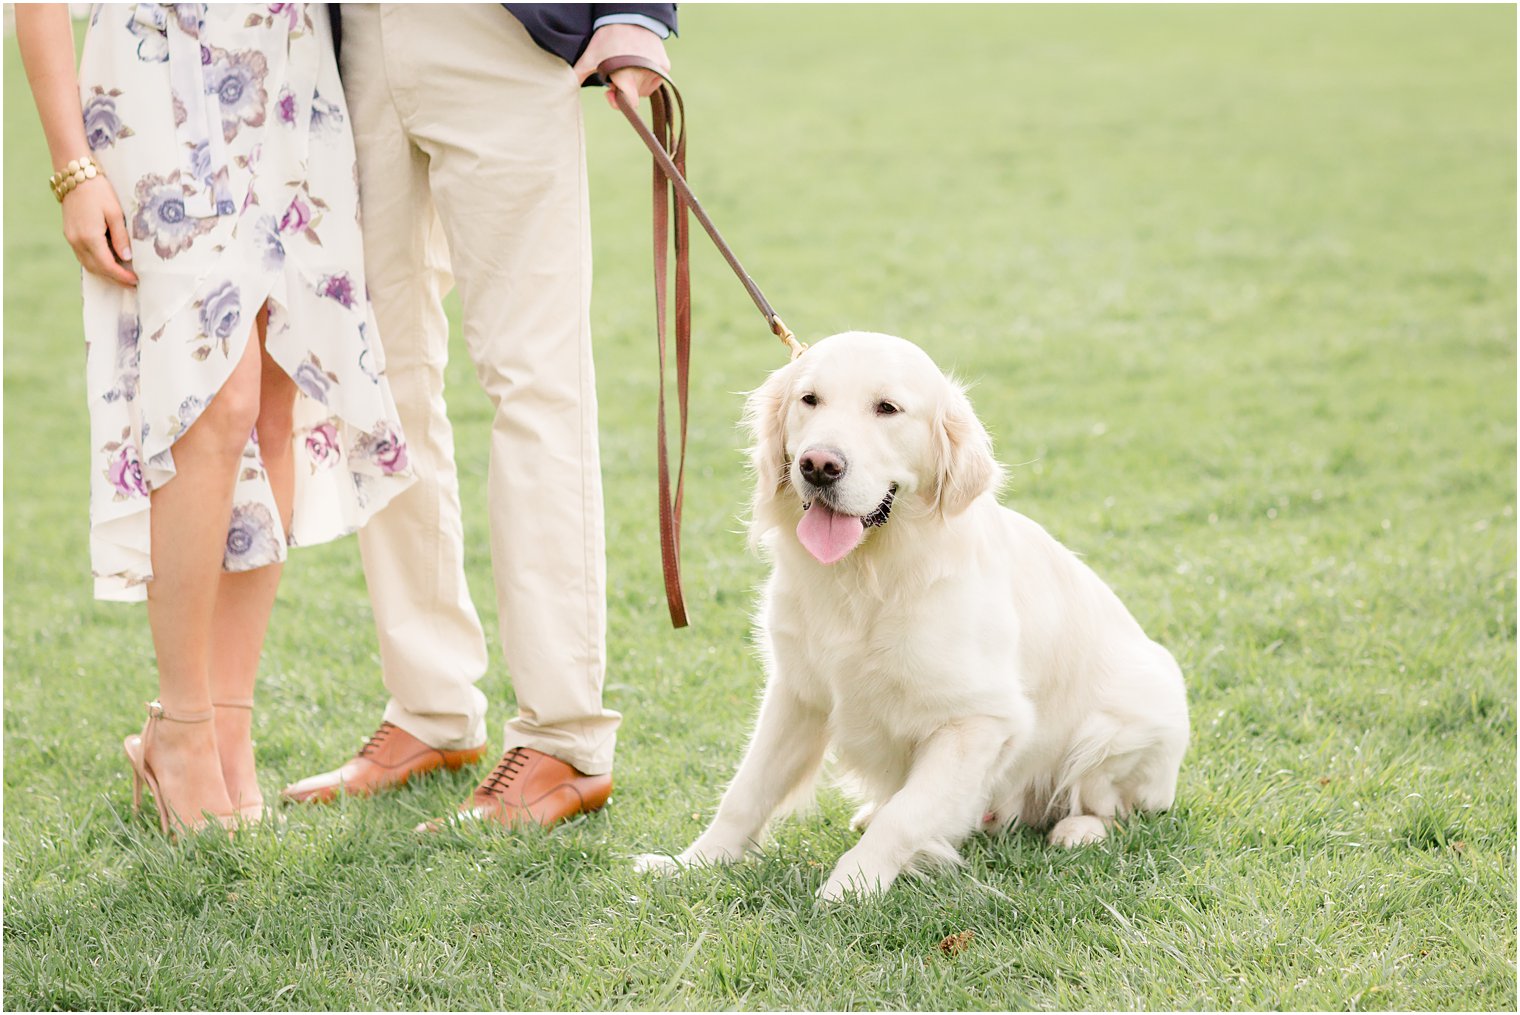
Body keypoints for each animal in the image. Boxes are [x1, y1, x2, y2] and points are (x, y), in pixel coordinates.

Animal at [635, 329, 1191, 899]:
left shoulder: (980, 721)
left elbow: (904, 816)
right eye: (809, 400)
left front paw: (851, 887)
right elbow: (746, 790)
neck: (865, 575)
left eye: (888, 408)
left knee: (1111, 806)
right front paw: (694, 863)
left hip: (1128, 715)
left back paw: (1078, 830)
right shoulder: (798, 694)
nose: (818, 465)